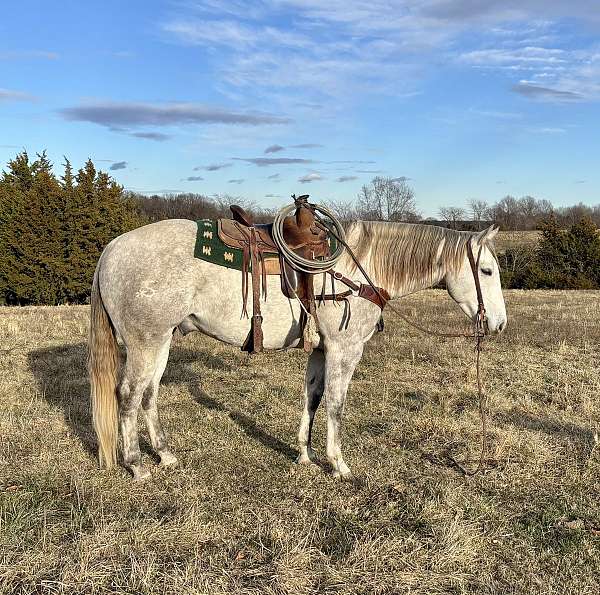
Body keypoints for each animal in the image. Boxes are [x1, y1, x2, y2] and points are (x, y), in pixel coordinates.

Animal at [86, 221, 504, 482]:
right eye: (486, 271)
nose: (499, 324)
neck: (361, 269)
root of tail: (112, 249)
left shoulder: (320, 351)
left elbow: (313, 398)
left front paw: (304, 454)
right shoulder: (344, 349)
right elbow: (335, 403)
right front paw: (338, 464)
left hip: (162, 340)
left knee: (149, 394)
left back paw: (165, 454)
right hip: (145, 342)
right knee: (128, 395)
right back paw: (137, 465)